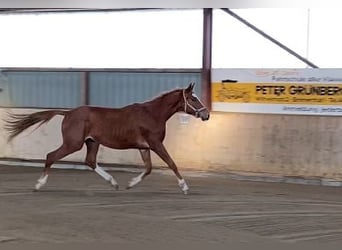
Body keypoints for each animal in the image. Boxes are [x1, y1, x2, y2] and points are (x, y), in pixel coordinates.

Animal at [4, 83, 210, 194]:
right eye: (193, 99)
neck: (152, 114)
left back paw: (114, 182)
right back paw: (38, 185)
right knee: (51, 156)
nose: (206, 114)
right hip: (73, 143)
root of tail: (68, 113)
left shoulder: (144, 147)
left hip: (92, 142)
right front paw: (184, 187)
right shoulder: (155, 144)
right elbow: (171, 163)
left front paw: (130, 184)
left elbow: (149, 168)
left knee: (90, 161)